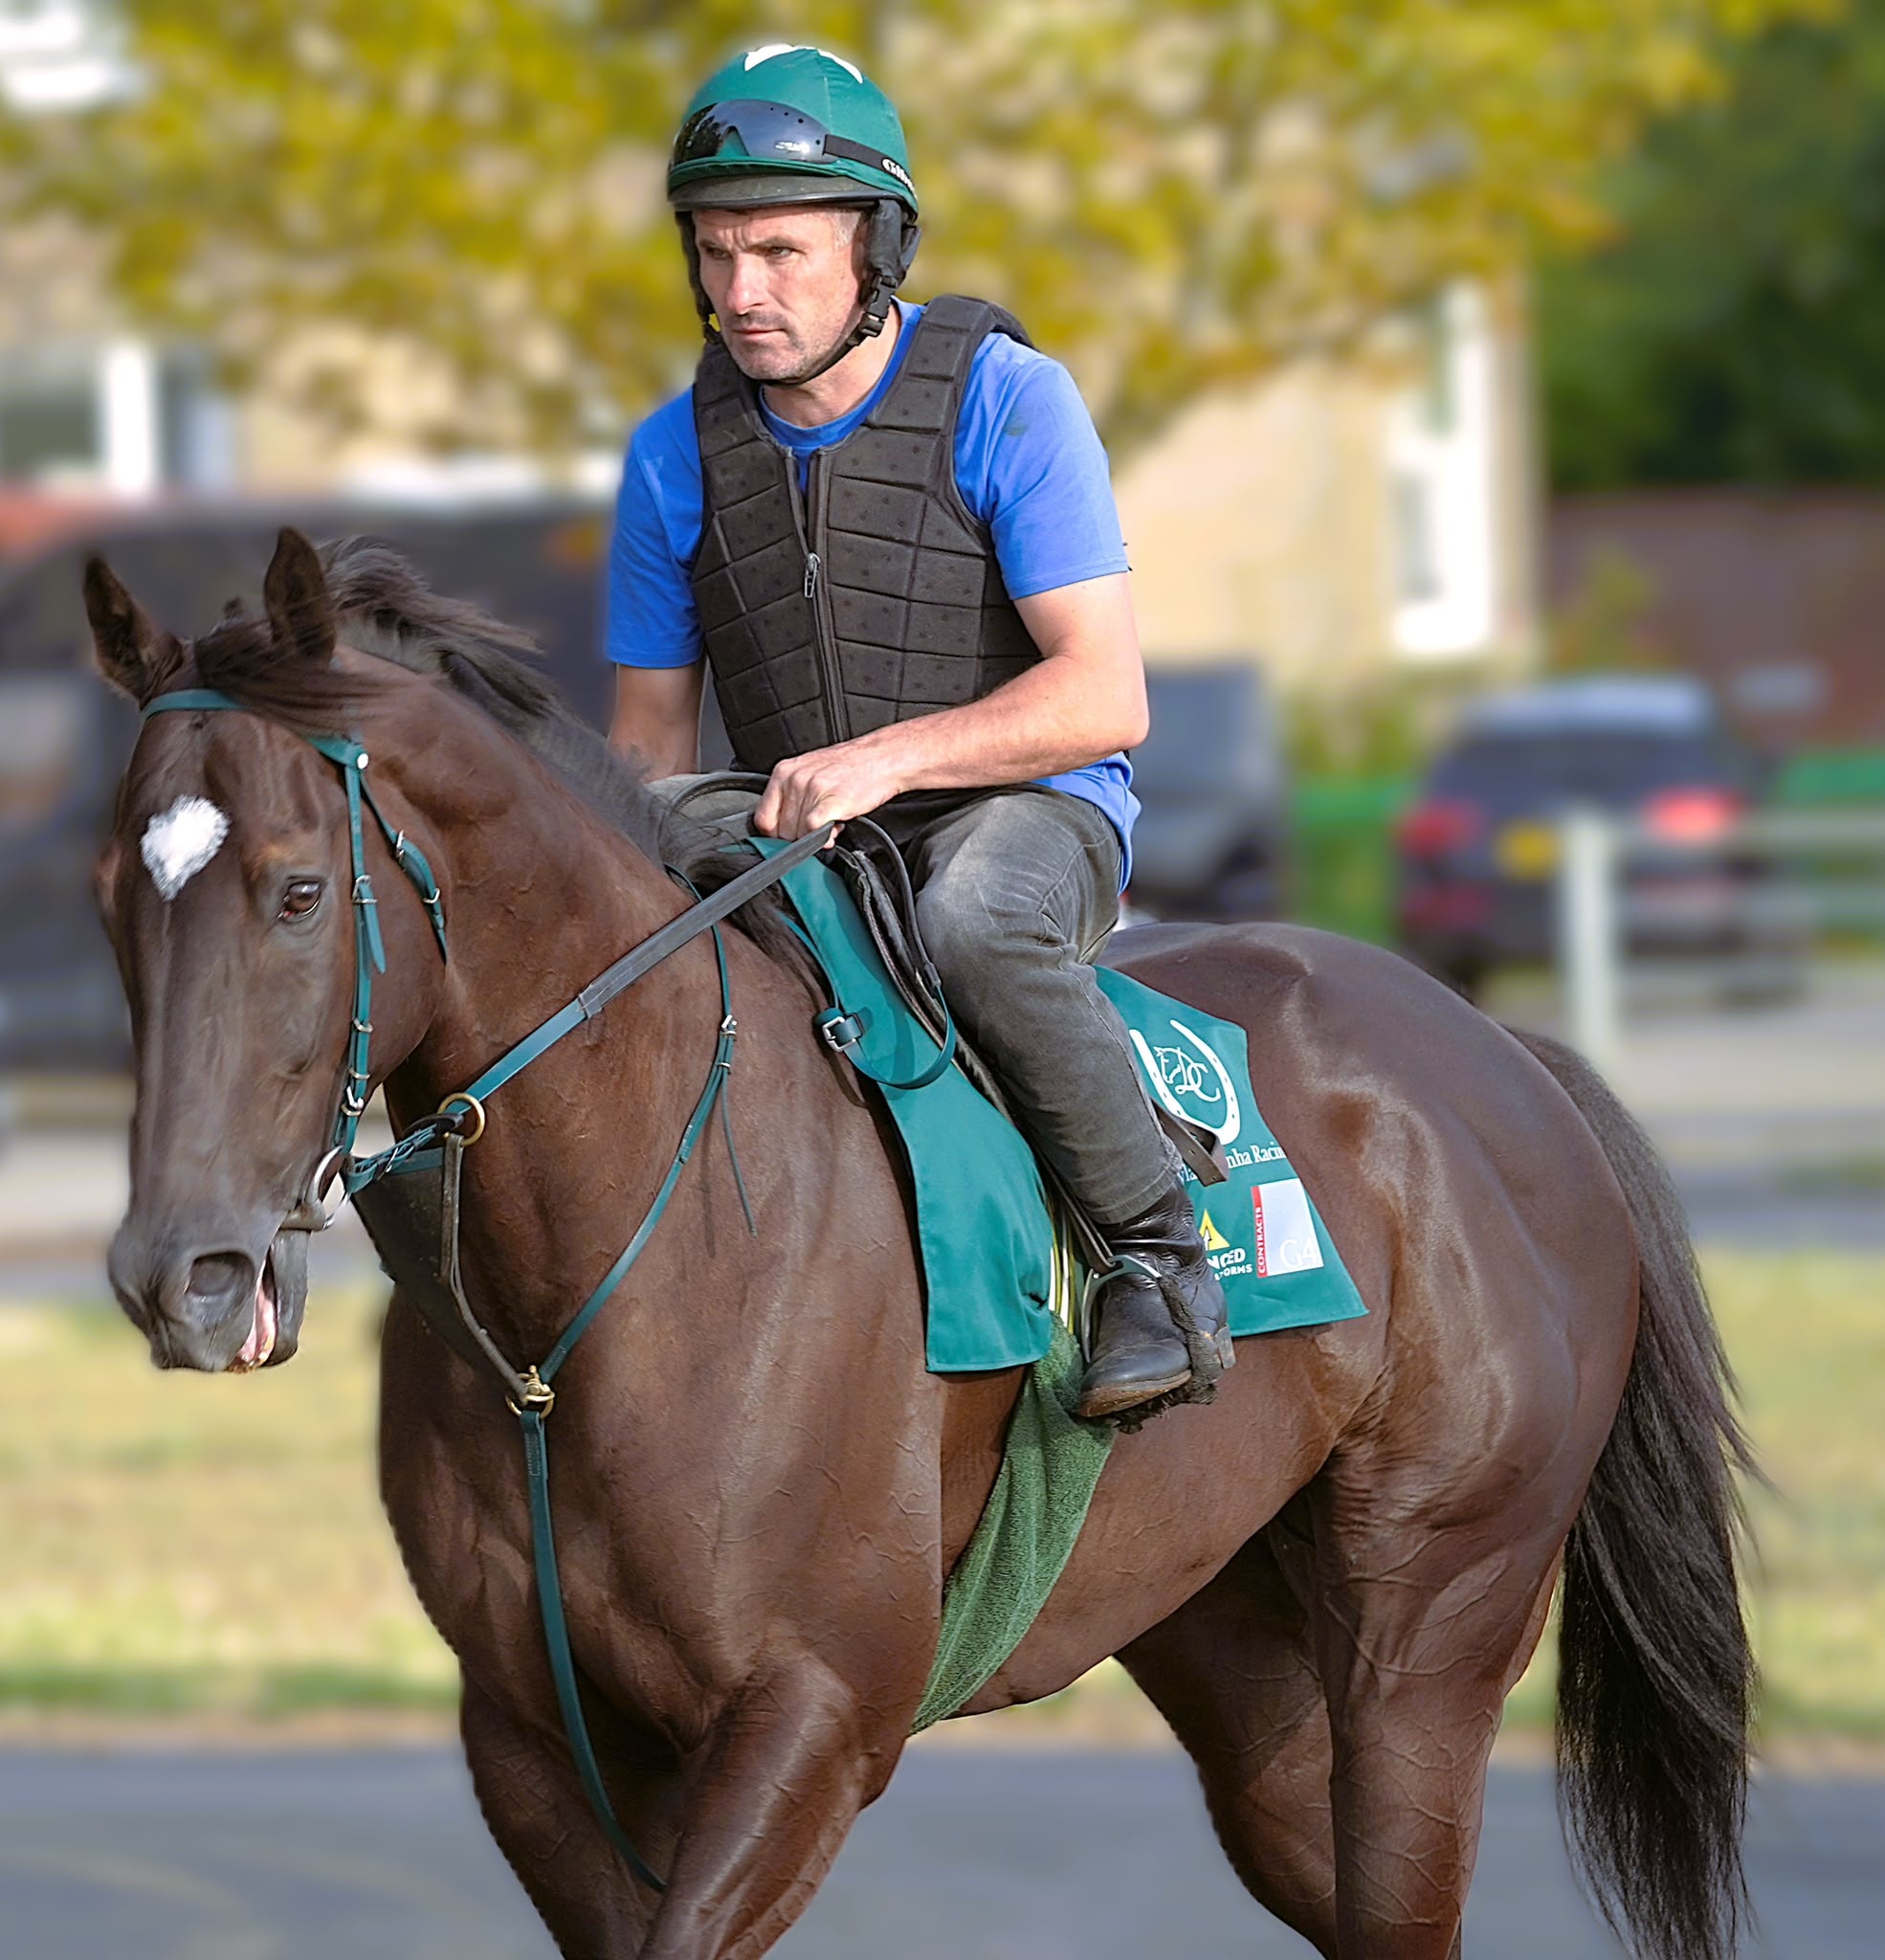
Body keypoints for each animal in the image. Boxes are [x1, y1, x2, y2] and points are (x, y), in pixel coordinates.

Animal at [85, 528, 1754, 1960]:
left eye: (299, 889)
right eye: (112, 897)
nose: (186, 1276)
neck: (607, 1293)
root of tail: (1499, 1054)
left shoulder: (811, 1718)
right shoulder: (537, 1740)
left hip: (1427, 1633)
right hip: (1245, 1662)